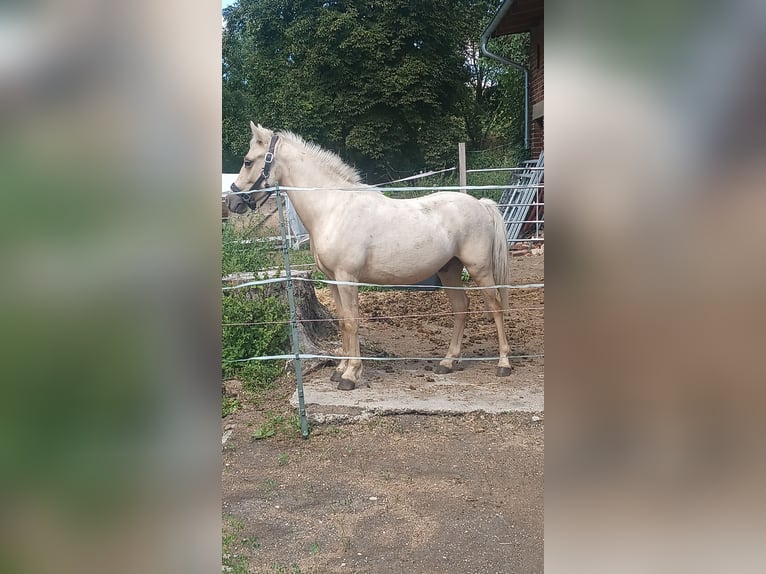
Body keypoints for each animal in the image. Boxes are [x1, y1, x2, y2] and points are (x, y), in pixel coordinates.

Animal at [226, 122, 512, 390]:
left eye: (247, 161)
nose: (231, 202)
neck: (332, 208)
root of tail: (480, 204)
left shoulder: (347, 278)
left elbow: (352, 322)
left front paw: (351, 375)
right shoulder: (332, 280)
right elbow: (343, 322)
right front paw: (340, 370)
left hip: (479, 269)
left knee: (496, 307)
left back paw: (503, 364)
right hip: (449, 269)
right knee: (461, 308)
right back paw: (448, 362)